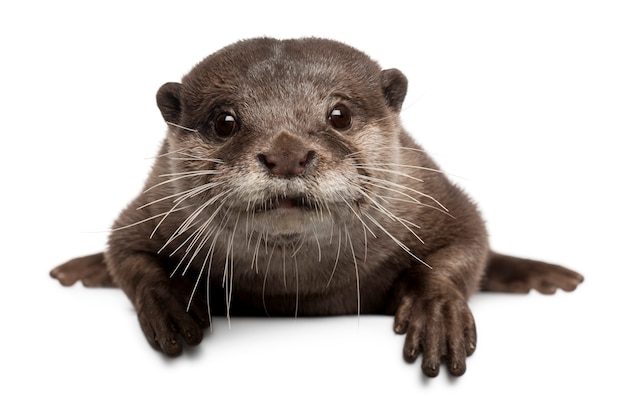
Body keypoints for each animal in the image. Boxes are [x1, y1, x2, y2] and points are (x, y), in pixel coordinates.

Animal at [51, 37, 584, 378]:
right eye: (225, 121)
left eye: (339, 114)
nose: (287, 153)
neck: (298, 289)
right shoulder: (154, 208)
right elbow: (127, 254)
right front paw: (173, 306)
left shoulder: (437, 199)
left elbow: (466, 244)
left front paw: (434, 311)